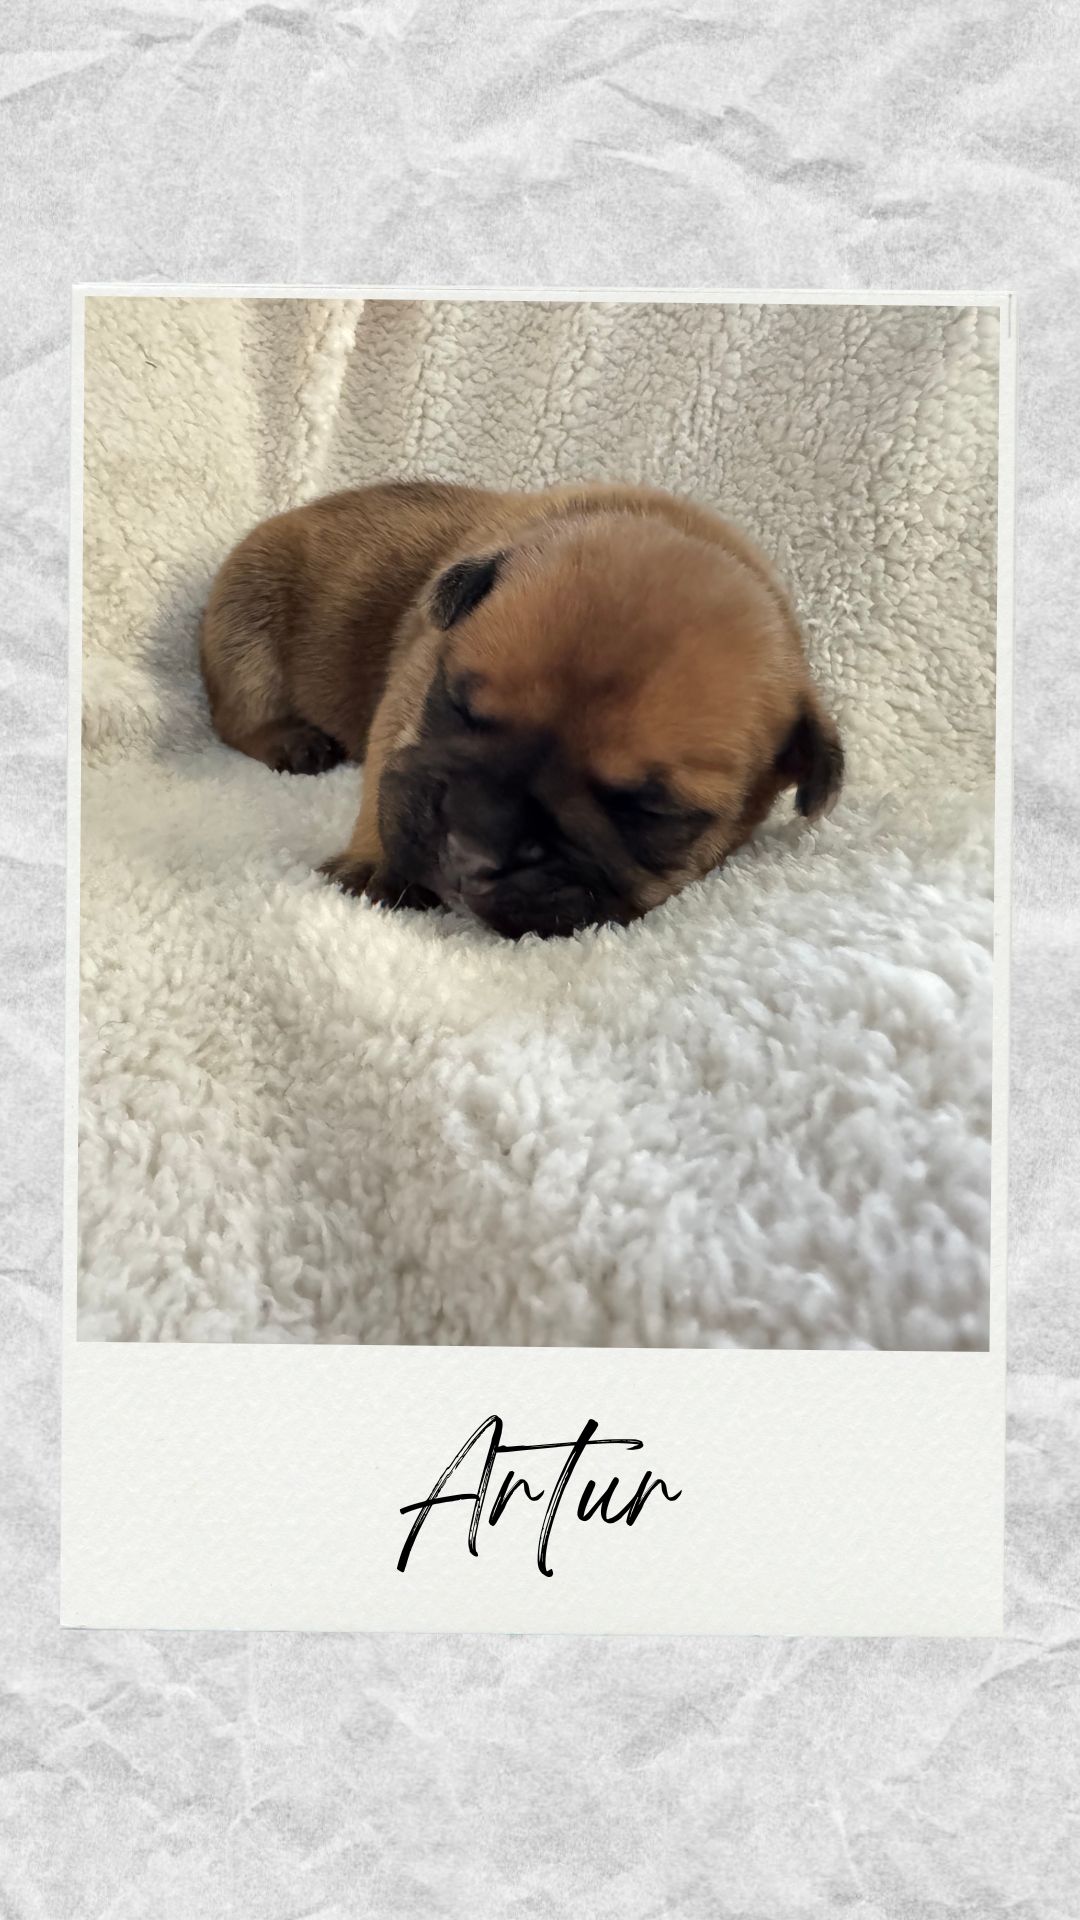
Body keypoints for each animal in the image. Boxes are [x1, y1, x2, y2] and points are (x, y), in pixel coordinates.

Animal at [199, 479, 843, 939]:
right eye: (456, 704)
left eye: (651, 812)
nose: (470, 853)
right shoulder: (408, 696)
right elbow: (387, 775)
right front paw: (375, 865)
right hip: (246, 620)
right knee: (236, 715)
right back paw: (290, 740)